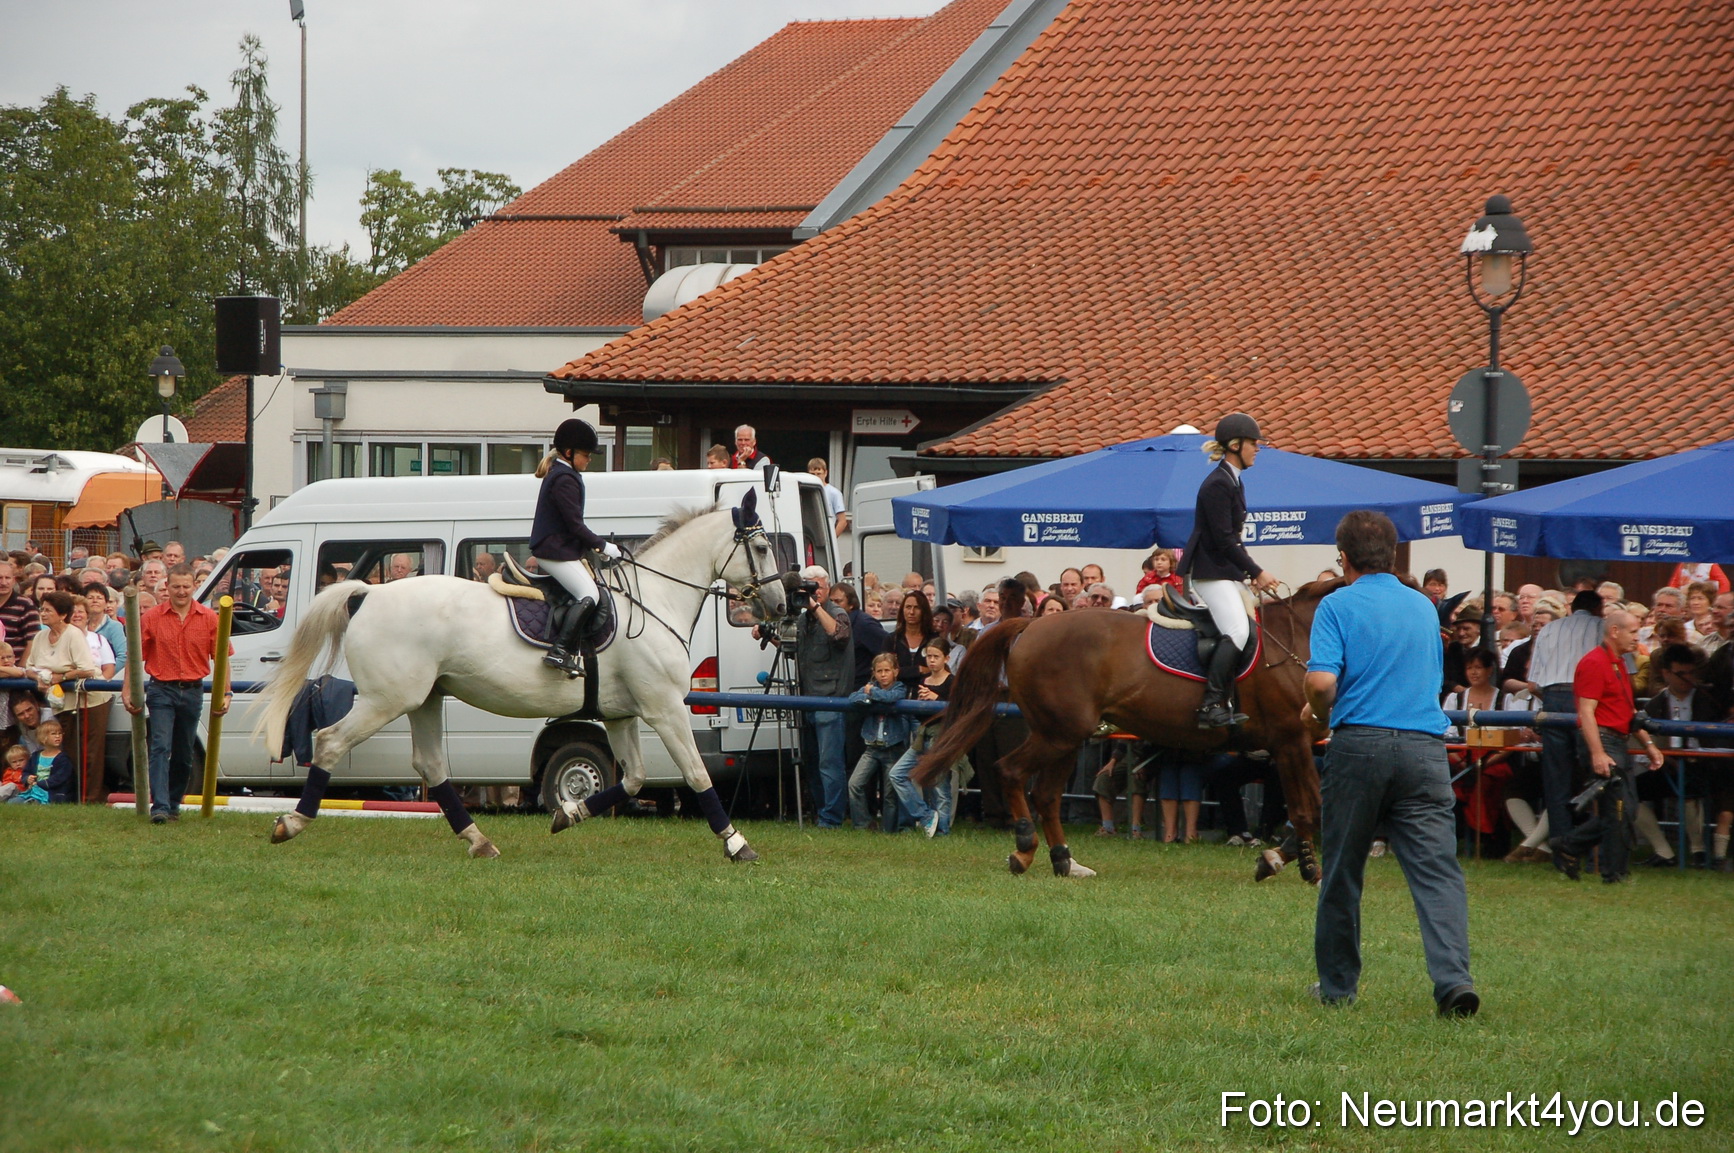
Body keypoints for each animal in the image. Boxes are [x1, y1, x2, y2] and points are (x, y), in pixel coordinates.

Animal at [256, 492, 787, 861]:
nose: (782, 605)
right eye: (762, 546)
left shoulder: (622, 715)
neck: (653, 600)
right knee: (329, 742)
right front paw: (737, 844)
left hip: (424, 699)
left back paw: (479, 840)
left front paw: (567, 814)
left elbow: (634, 779)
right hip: (386, 700)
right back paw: (290, 824)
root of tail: (369, 593)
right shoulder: (665, 709)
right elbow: (697, 774)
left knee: (431, 765)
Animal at [913, 580, 1343, 881]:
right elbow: (1309, 809)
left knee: (1046, 794)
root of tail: (1033, 624)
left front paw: (1283, 860)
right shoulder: (1290, 741)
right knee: (1012, 772)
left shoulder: (1294, 746)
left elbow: (1311, 809)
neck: (1298, 636)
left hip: (1064, 736)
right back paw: (1024, 849)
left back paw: (1065, 861)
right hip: (1059, 734)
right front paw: (1297, 865)